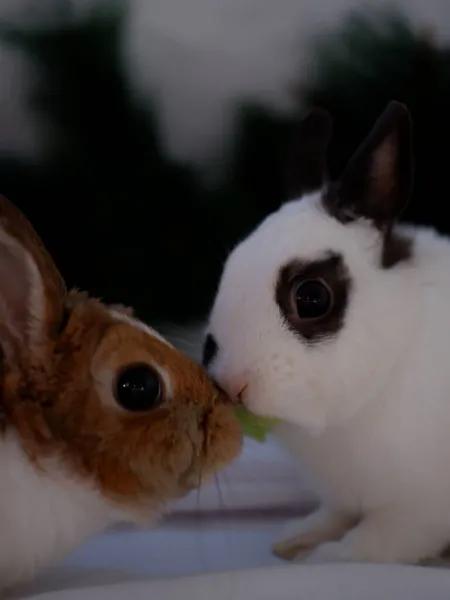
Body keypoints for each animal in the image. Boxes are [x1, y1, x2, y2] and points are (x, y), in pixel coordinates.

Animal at [205, 101, 450, 564]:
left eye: (313, 298)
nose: (232, 382)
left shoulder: (417, 510)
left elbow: (379, 538)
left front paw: (328, 557)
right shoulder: (344, 497)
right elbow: (334, 514)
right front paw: (295, 537)